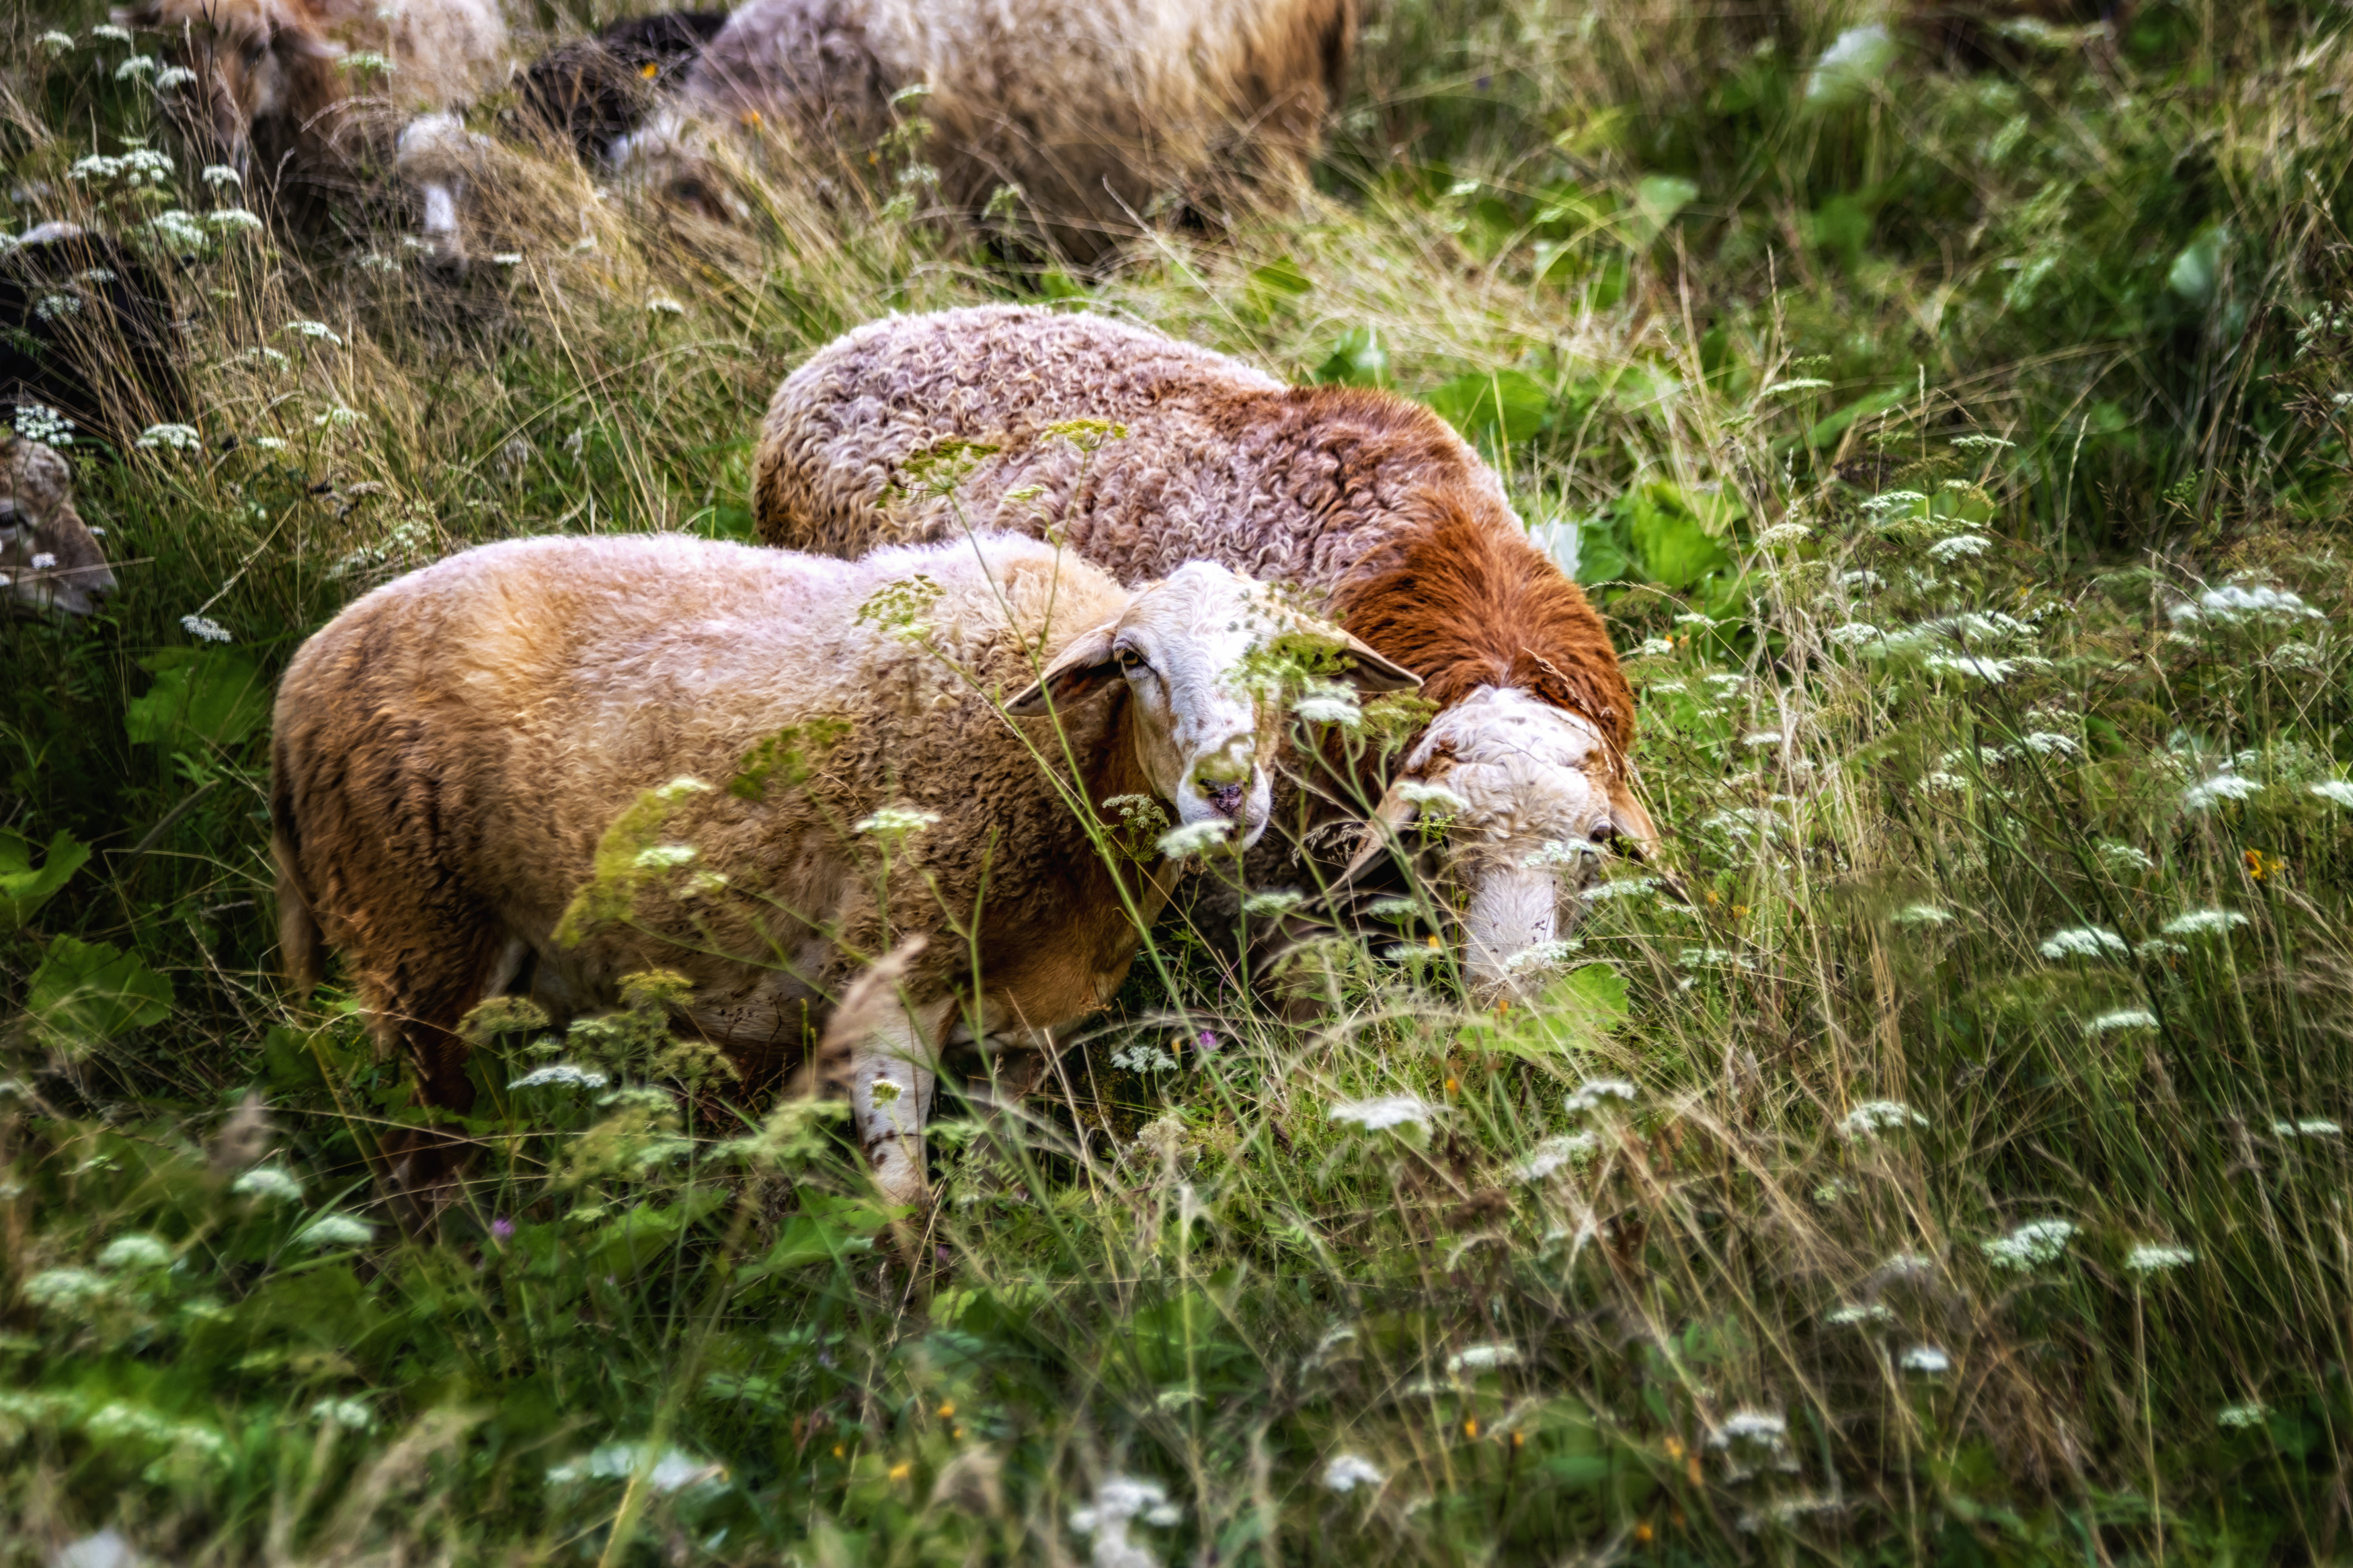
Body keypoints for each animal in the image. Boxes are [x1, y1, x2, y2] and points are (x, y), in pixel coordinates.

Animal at [275, 531, 1412, 1203]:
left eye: (1291, 661)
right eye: (1132, 662)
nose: (1225, 790)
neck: (1064, 765)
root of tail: (303, 670)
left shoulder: (1034, 1023)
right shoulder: (888, 980)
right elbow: (904, 1194)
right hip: (413, 939)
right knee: (418, 1164)